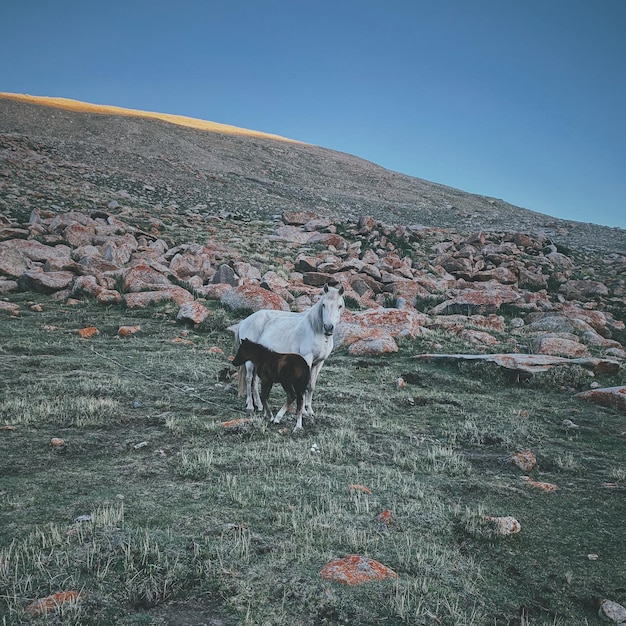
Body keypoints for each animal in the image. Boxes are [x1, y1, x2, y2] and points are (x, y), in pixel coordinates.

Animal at [234, 280, 344, 426]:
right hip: (249, 361)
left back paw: (260, 406)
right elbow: (305, 386)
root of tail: (244, 321)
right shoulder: (307, 360)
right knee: (248, 379)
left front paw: (310, 411)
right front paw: (303, 412)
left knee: (255, 381)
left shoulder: (319, 363)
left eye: (340, 306)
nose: (328, 327)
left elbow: (311, 386)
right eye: (324, 304)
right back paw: (251, 406)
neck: (315, 330)